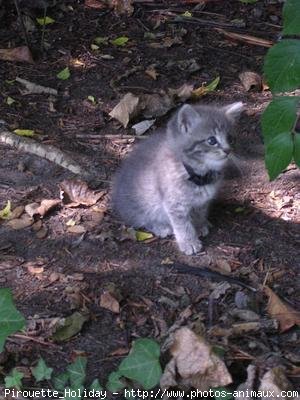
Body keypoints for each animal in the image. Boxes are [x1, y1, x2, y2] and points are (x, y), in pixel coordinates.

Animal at [112, 101, 244, 255]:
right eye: (211, 140)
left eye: (231, 138)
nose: (228, 151)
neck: (197, 174)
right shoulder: (175, 204)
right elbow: (183, 225)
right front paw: (189, 242)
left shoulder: (202, 202)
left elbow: (199, 213)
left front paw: (199, 225)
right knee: (140, 218)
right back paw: (160, 227)